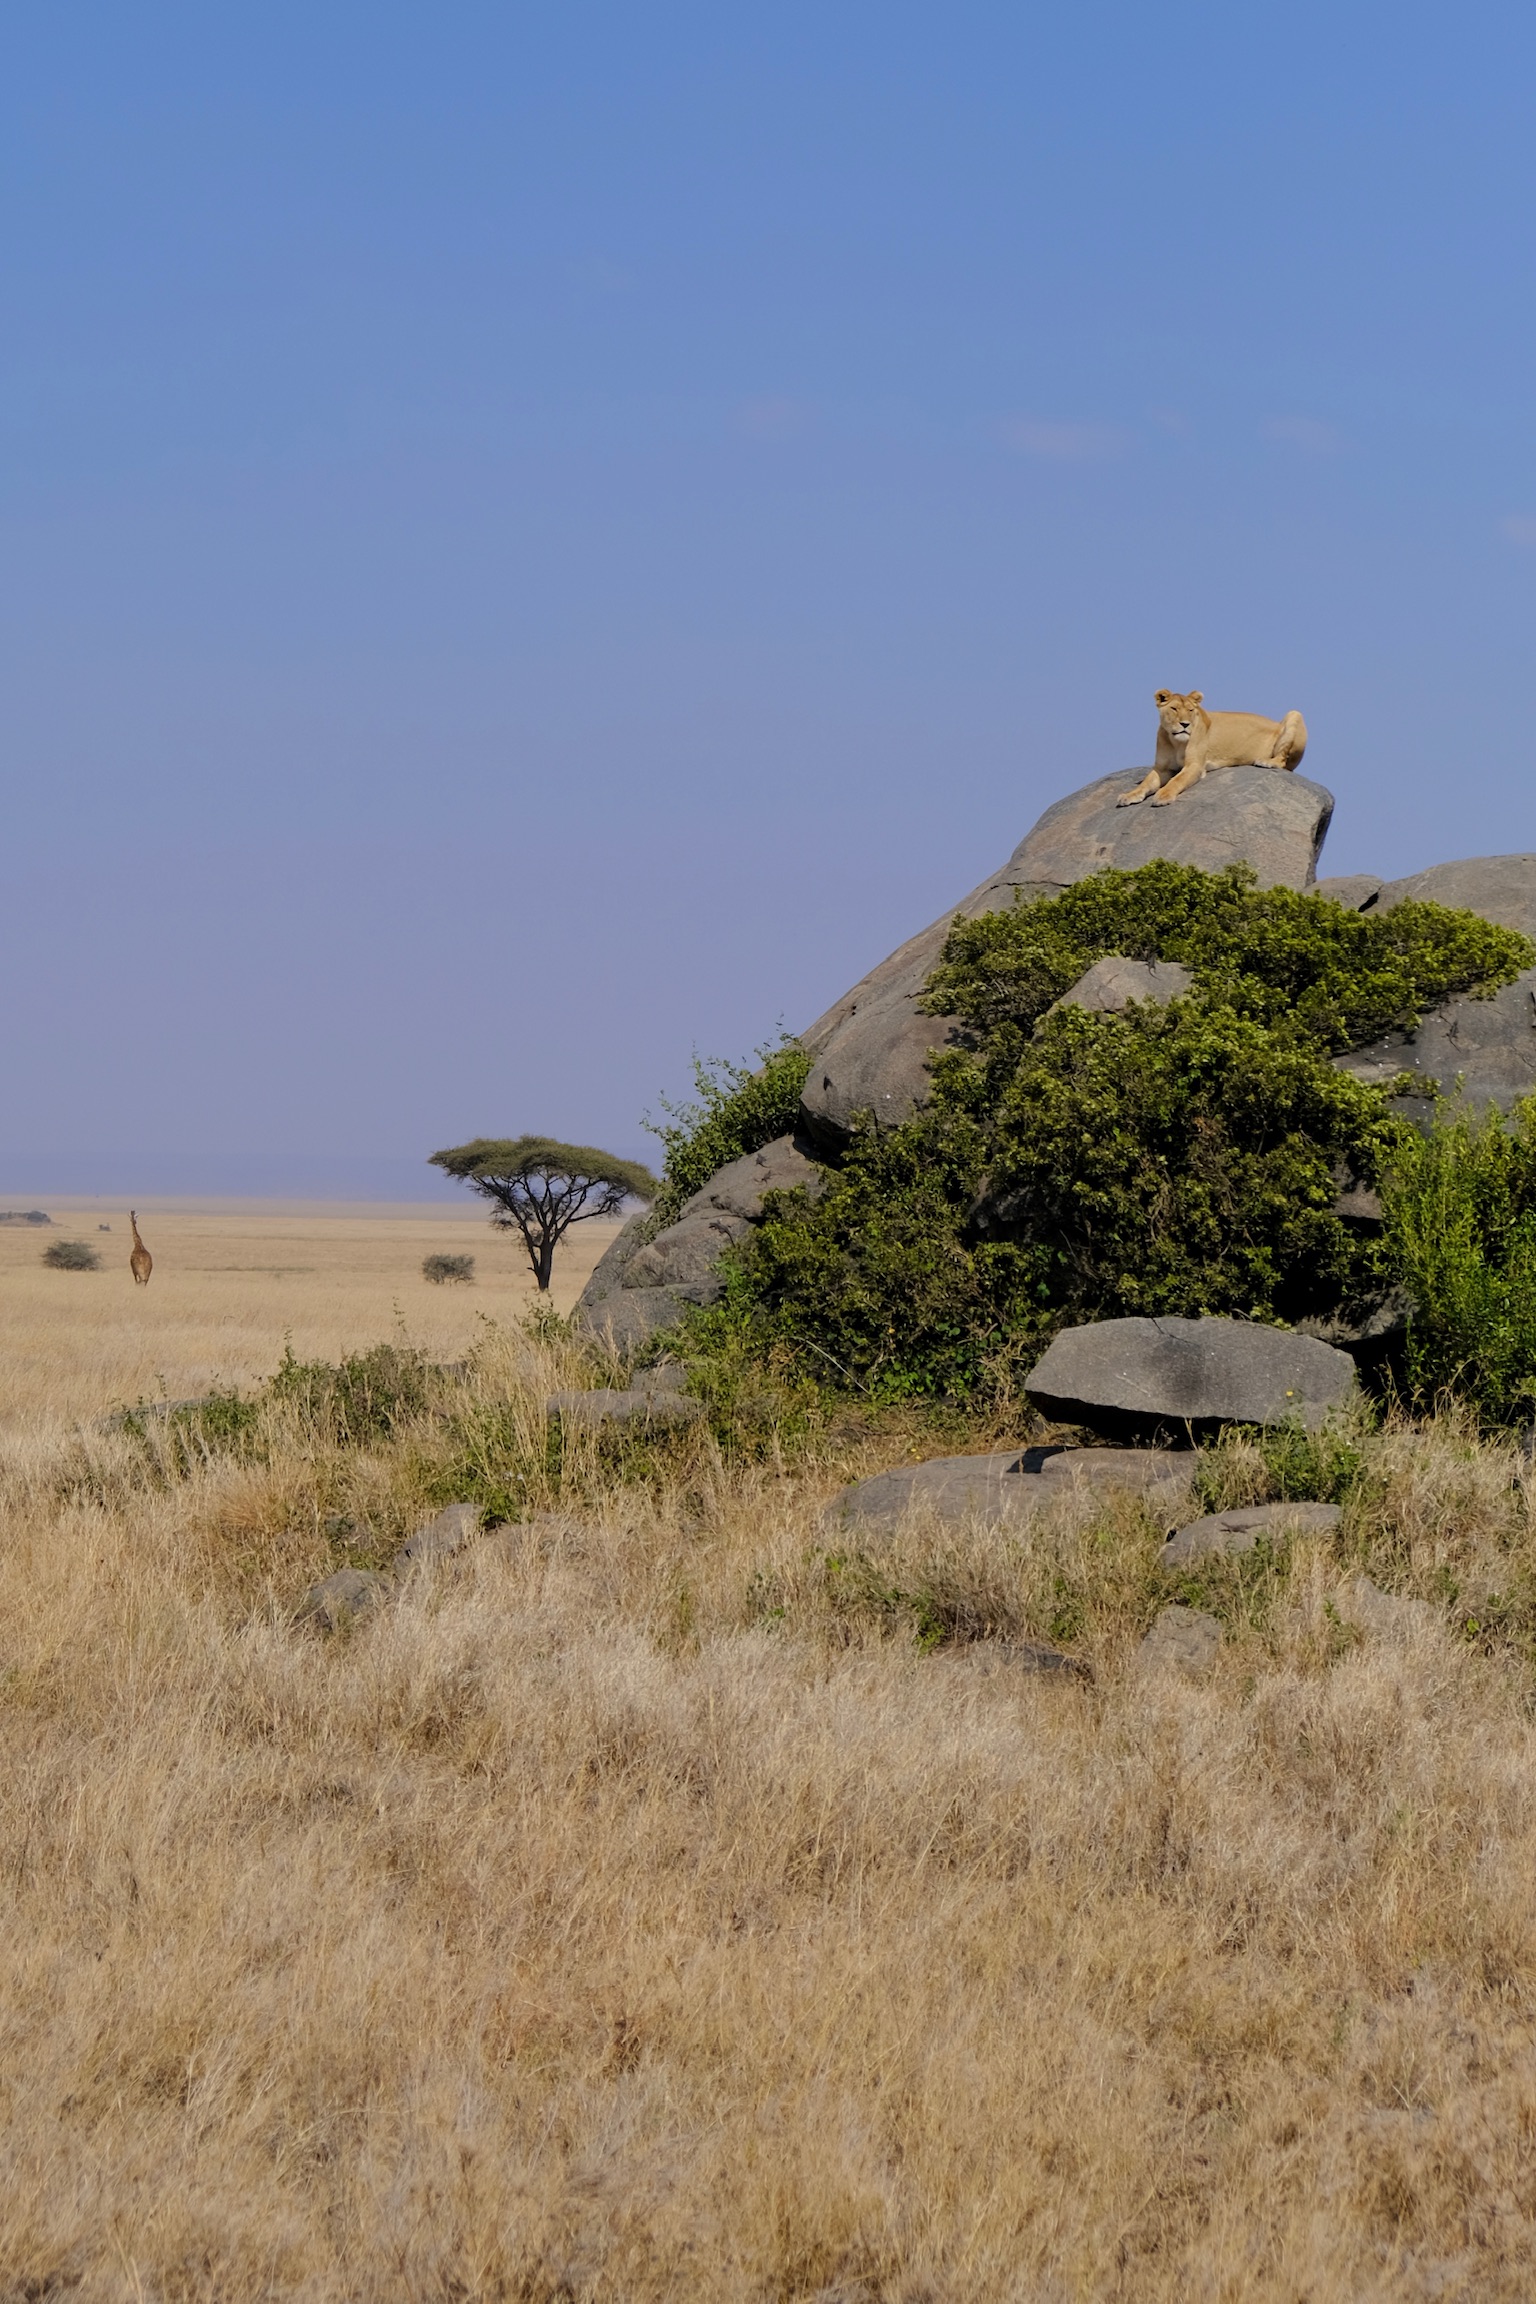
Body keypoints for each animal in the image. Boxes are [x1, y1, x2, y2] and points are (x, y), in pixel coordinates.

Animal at [1117, 690, 1308, 807]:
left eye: (1190, 710)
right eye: (1174, 708)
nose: (1185, 724)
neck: (1175, 741)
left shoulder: (1195, 765)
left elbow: (1176, 780)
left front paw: (1163, 795)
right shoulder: (1162, 768)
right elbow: (1146, 782)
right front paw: (1128, 795)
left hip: (1294, 714)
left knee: (1282, 761)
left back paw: (1266, 762)